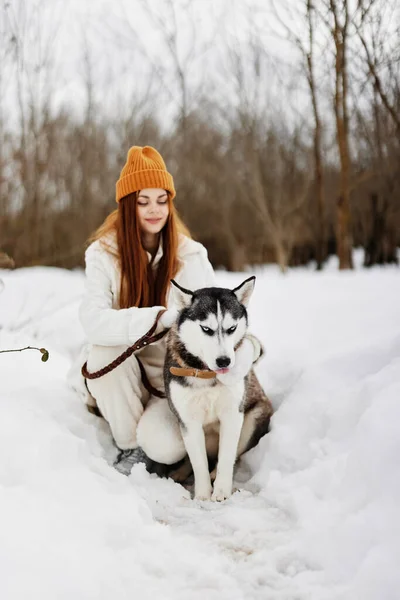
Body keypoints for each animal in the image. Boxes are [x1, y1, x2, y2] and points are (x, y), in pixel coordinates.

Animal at [164, 276, 274, 502]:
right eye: (206, 329)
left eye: (232, 328)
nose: (224, 361)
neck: (207, 375)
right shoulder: (189, 421)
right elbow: (198, 463)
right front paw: (202, 495)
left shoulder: (233, 415)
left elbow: (226, 458)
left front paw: (221, 491)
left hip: (254, 418)